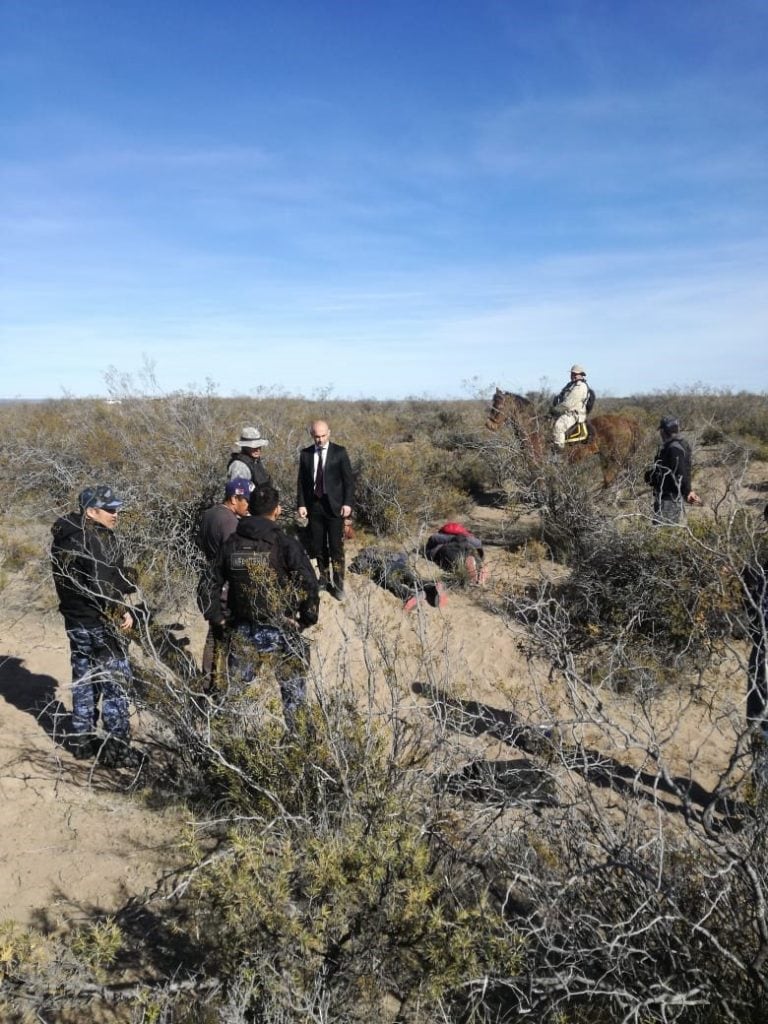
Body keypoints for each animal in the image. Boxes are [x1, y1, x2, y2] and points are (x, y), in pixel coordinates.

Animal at [487, 391, 643, 487]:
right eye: (492, 404)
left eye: (500, 405)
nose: (490, 425)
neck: (534, 430)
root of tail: (627, 421)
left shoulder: (538, 463)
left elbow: (540, 482)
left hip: (613, 458)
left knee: (611, 481)